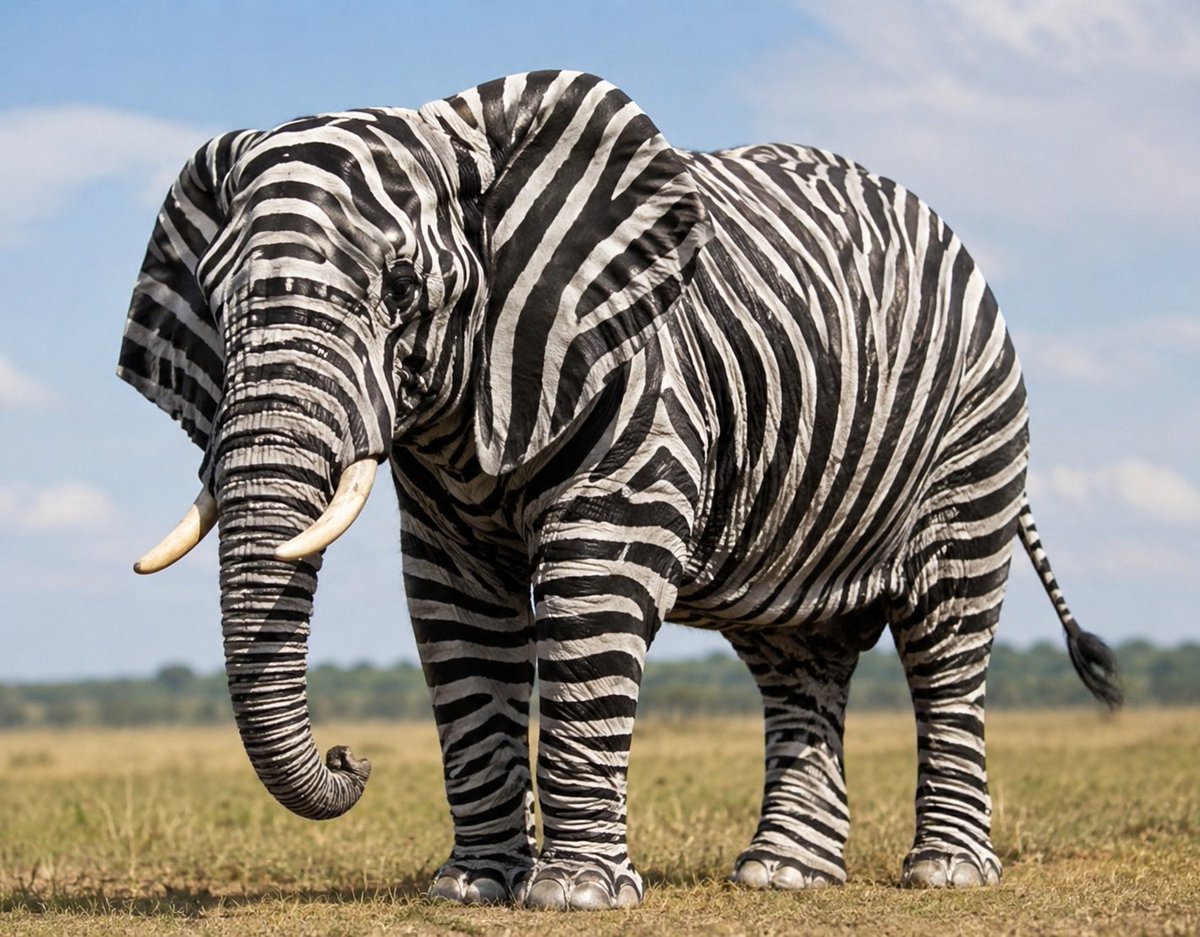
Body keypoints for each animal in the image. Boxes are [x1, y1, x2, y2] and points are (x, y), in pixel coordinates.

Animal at [120, 70, 1121, 910]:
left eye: (401, 286)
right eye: (210, 297)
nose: (351, 754)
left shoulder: (645, 378)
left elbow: (591, 589)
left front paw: (571, 896)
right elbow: (459, 619)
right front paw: (472, 890)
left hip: (975, 428)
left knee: (945, 631)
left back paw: (946, 873)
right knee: (800, 655)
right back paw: (782, 877)